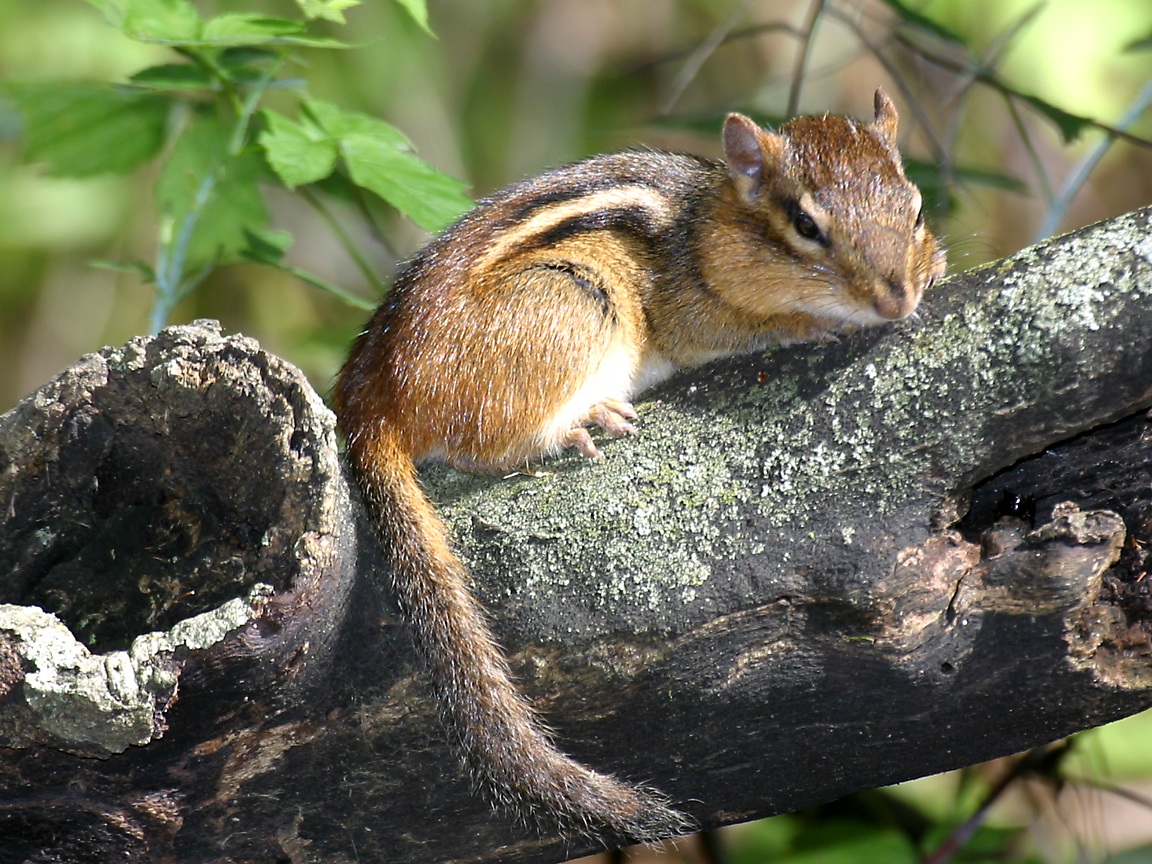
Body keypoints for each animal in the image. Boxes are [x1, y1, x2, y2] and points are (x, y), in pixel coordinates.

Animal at [333, 88, 946, 843]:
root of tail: (370, 394)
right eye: (806, 224)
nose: (897, 298)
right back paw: (581, 421)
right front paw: (813, 323)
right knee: (483, 444)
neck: (705, 225)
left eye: (915, 210)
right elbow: (743, 326)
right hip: (571, 296)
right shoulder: (693, 309)